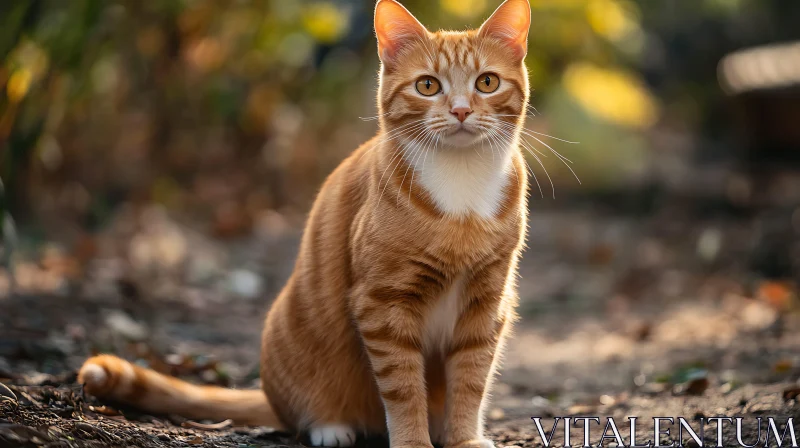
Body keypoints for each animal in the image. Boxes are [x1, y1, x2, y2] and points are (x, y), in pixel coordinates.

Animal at [79, 1, 532, 446]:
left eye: (487, 82)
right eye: (427, 86)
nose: (461, 110)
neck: (462, 189)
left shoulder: (487, 301)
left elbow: (470, 382)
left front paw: (464, 439)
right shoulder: (383, 302)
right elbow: (403, 389)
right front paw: (413, 443)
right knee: (302, 414)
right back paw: (331, 428)